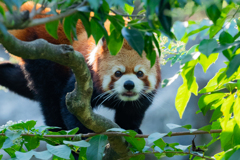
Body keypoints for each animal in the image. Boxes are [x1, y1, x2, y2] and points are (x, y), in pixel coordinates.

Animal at [0, 1, 161, 134]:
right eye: (117, 73)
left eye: (139, 73)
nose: (129, 84)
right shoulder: (84, 77)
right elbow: (68, 107)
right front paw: (83, 135)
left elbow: (132, 113)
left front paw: (131, 130)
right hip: (44, 57)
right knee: (50, 97)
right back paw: (57, 130)